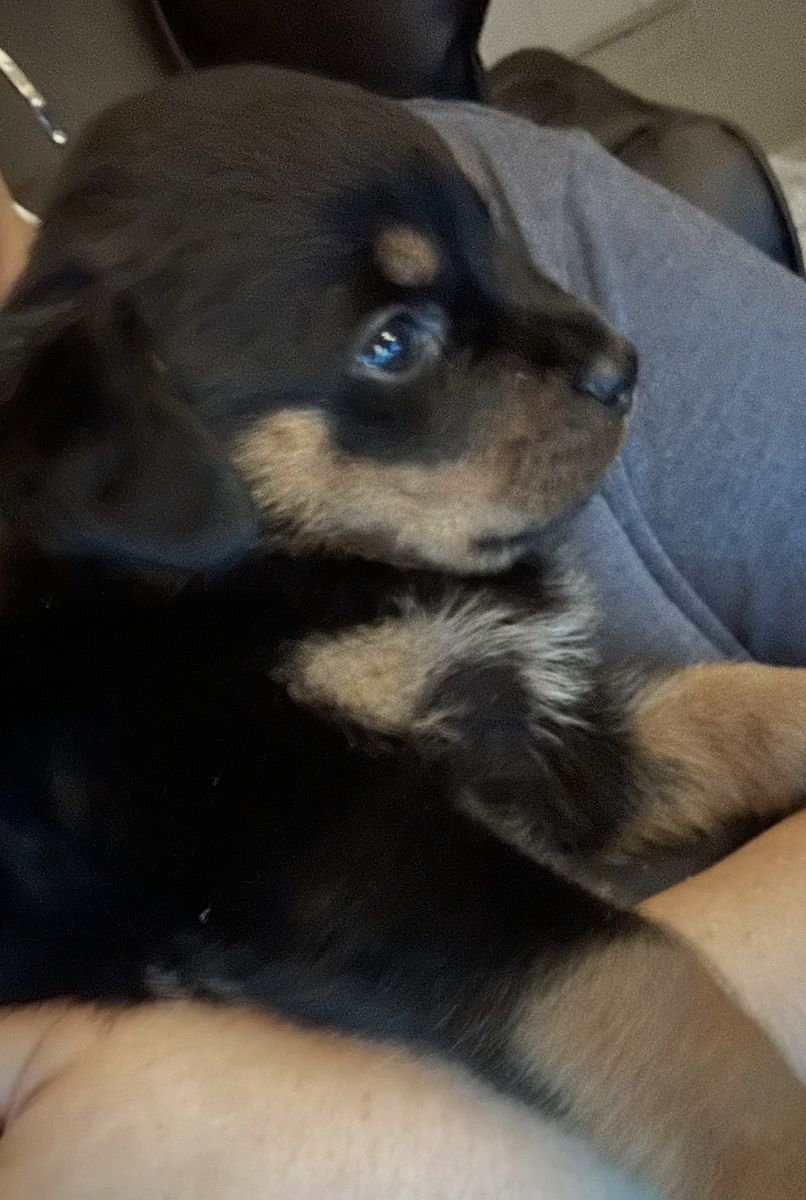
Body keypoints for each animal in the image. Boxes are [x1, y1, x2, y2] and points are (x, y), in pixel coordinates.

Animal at [0, 66, 805, 1198]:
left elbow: (733, 710)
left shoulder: (538, 734)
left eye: (491, 233)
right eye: (391, 344)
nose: (622, 365)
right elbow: (629, 975)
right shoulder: (328, 838)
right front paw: (777, 1151)